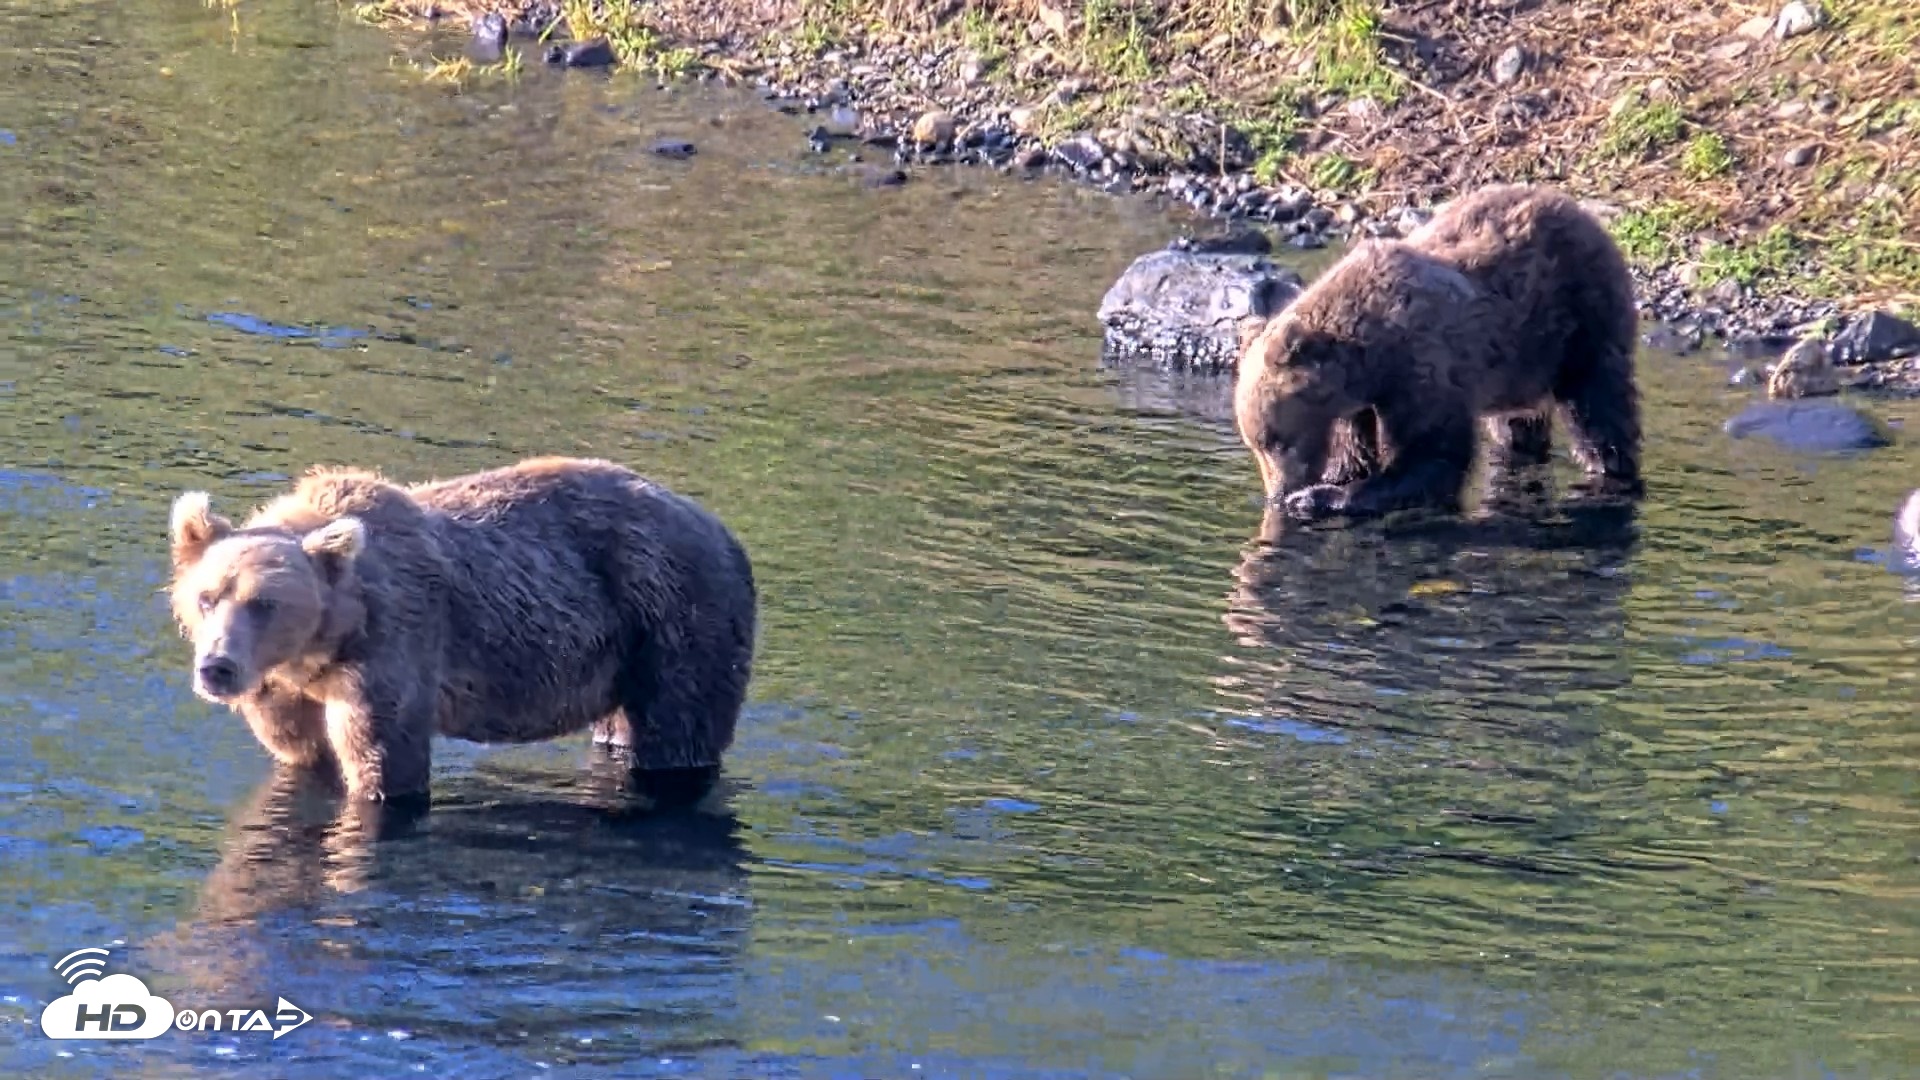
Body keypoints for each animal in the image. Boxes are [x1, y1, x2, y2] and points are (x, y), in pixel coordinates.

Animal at [165, 456, 758, 807]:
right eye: (206, 597)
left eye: (264, 603)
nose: (218, 668)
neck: (324, 644)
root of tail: (724, 530)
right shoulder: (288, 689)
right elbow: (302, 749)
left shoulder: (395, 645)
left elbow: (384, 756)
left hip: (675, 617)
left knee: (677, 728)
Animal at [1234, 183, 1643, 522]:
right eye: (1256, 444)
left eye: (1276, 440)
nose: (1277, 492)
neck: (1372, 355)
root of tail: (1576, 206)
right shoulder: (1360, 399)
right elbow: (1356, 447)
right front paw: (1335, 479)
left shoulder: (1424, 365)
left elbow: (1432, 453)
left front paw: (1320, 496)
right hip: (1518, 363)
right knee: (1516, 424)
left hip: (1580, 316)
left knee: (1598, 404)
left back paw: (1610, 467)